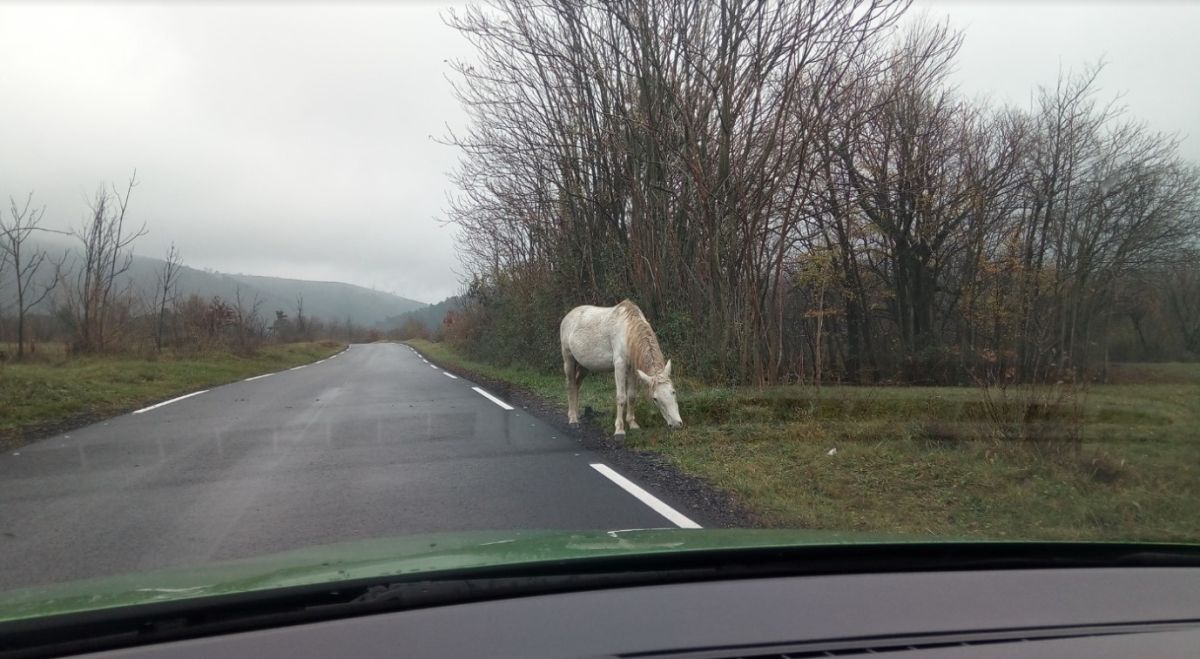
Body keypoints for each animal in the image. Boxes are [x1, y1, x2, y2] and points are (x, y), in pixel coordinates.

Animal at [559, 300, 683, 435]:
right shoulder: (620, 366)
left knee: (576, 386)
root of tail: (568, 316)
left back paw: (575, 414)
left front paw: (632, 424)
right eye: (655, 399)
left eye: (673, 391)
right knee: (570, 386)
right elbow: (621, 397)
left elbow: (632, 396)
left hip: (584, 367)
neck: (628, 331)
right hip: (569, 360)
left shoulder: (633, 370)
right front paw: (619, 429)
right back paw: (573, 419)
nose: (676, 424)